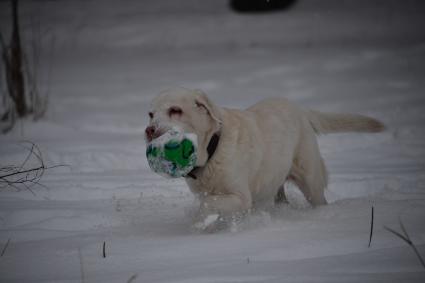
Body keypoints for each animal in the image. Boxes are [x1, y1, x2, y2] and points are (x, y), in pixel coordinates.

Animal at [146, 87, 384, 230]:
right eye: (150, 114)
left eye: (175, 110)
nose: (149, 130)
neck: (212, 150)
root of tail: (301, 110)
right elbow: (209, 202)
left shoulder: (241, 197)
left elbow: (208, 203)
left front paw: (198, 222)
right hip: (276, 181)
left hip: (311, 180)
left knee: (319, 199)